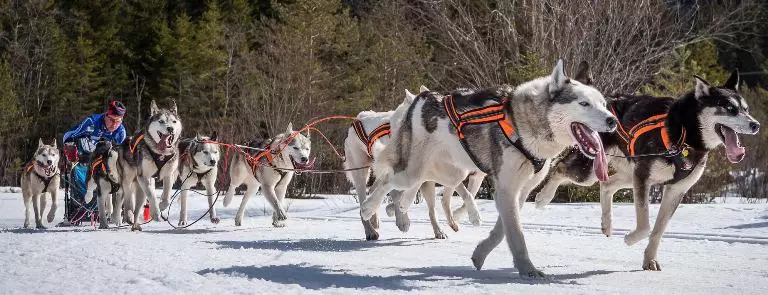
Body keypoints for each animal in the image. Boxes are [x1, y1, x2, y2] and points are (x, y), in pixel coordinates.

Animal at [115, 101, 183, 231]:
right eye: (161, 121)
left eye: (174, 121)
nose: (170, 128)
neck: (160, 154)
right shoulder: (143, 176)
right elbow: (151, 195)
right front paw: (156, 213)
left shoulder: (169, 175)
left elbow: (167, 197)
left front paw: (161, 206)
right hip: (128, 179)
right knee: (127, 199)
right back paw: (129, 215)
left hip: (141, 190)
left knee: (137, 208)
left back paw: (135, 224)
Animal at [344, 85, 484, 240]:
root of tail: (359, 117)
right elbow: (397, 194)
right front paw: (402, 219)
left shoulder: (435, 175)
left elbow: (461, 195)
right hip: (360, 172)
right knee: (364, 197)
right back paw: (370, 229)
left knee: (375, 190)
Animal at [360, 60, 616, 278]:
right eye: (584, 103)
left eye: (603, 104)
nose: (613, 120)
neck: (519, 121)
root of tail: (425, 96)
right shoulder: (506, 188)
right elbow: (516, 234)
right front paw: (528, 270)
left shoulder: (519, 191)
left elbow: (504, 229)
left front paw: (480, 254)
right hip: (412, 171)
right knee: (386, 180)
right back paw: (369, 207)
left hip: (446, 171)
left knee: (408, 188)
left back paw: (399, 209)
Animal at [532, 71, 760, 270]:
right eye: (729, 107)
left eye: (746, 108)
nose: (756, 125)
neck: (685, 132)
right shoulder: (643, 179)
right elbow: (645, 226)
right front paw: (630, 239)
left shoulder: (675, 190)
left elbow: (658, 230)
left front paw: (650, 260)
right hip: (590, 170)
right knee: (560, 167)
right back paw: (543, 198)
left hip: (627, 172)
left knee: (607, 184)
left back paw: (607, 224)